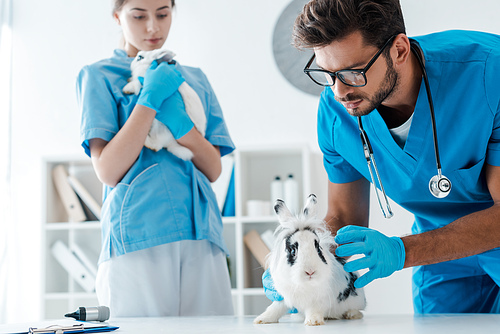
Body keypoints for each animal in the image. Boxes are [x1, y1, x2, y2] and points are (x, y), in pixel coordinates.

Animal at [256, 193, 366, 326]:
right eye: (292, 251)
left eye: (318, 248)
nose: (310, 271)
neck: (304, 284)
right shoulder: (283, 297)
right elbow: (275, 308)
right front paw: (262, 319)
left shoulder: (318, 300)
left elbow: (314, 310)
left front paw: (313, 322)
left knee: (358, 311)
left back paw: (351, 314)